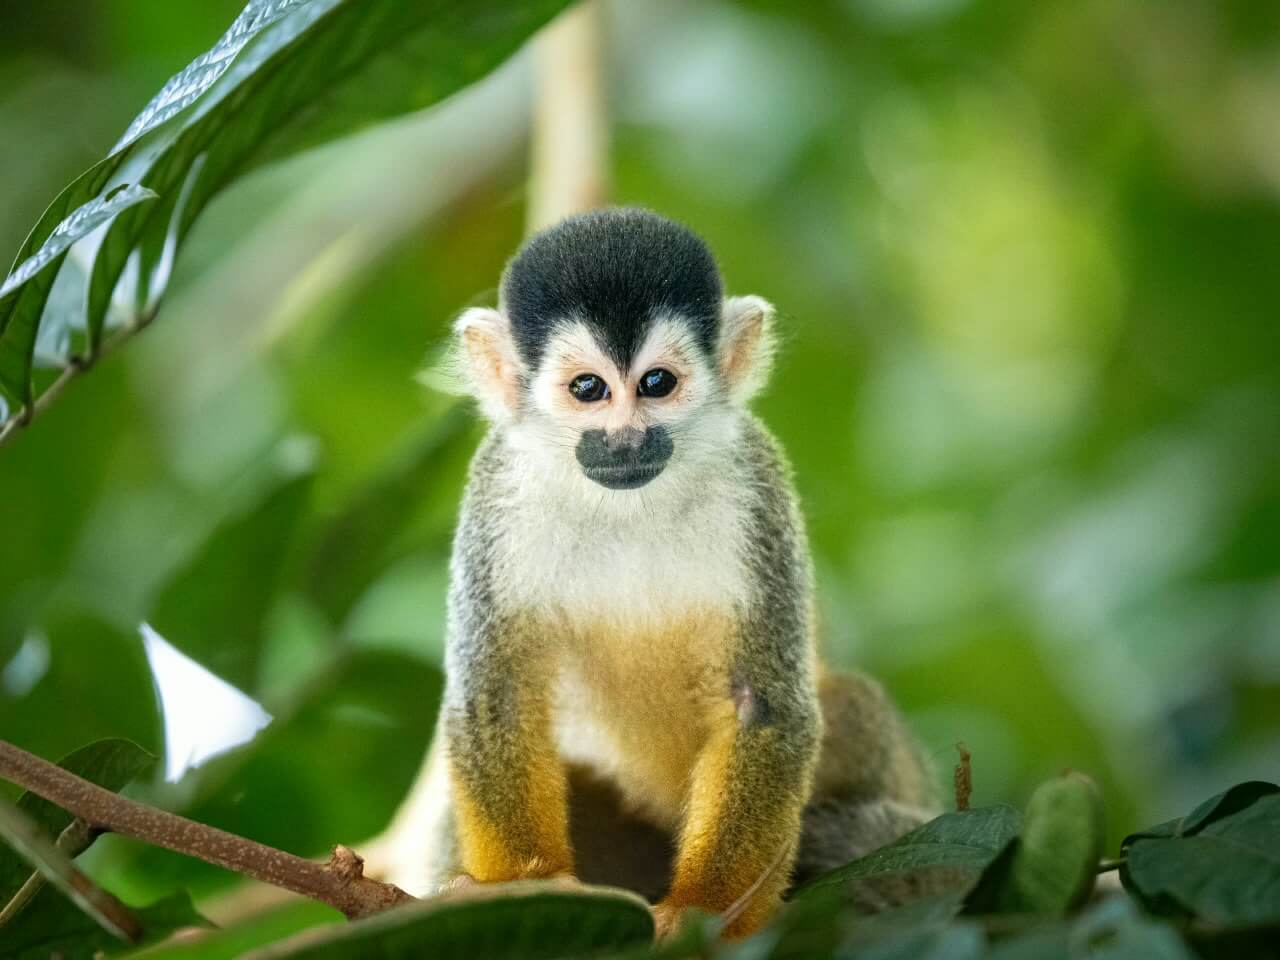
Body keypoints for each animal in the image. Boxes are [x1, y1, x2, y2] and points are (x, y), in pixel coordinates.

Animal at [385, 207, 936, 938]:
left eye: (656, 384)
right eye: (589, 389)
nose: (626, 440)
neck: (629, 505)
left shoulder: (757, 483)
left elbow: (765, 706)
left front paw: (705, 913)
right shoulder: (497, 491)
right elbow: (498, 696)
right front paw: (518, 889)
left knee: (850, 703)